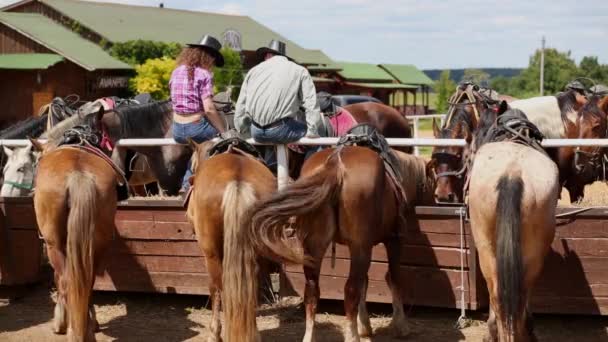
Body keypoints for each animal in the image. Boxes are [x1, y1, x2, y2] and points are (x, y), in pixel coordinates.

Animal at [29, 109, 119, 342]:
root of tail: (78, 173)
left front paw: (60, 321)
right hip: (98, 244)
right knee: (87, 281)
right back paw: (86, 328)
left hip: (54, 245)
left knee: (66, 281)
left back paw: (70, 327)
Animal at [185, 137, 276, 342]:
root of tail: (237, 181)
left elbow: (214, 290)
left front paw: (214, 333)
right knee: (250, 289)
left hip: (212, 254)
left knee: (221, 289)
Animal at [223, 135, 436, 340]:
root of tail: (336, 164)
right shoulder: (393, 240)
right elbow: (393, 278)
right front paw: (400, 326)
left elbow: (367, 282)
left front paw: (365, 325)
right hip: (360, 247)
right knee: (350, 290)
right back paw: (352, 337)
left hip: (314, 247)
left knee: (312, 291)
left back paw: (310, 337)